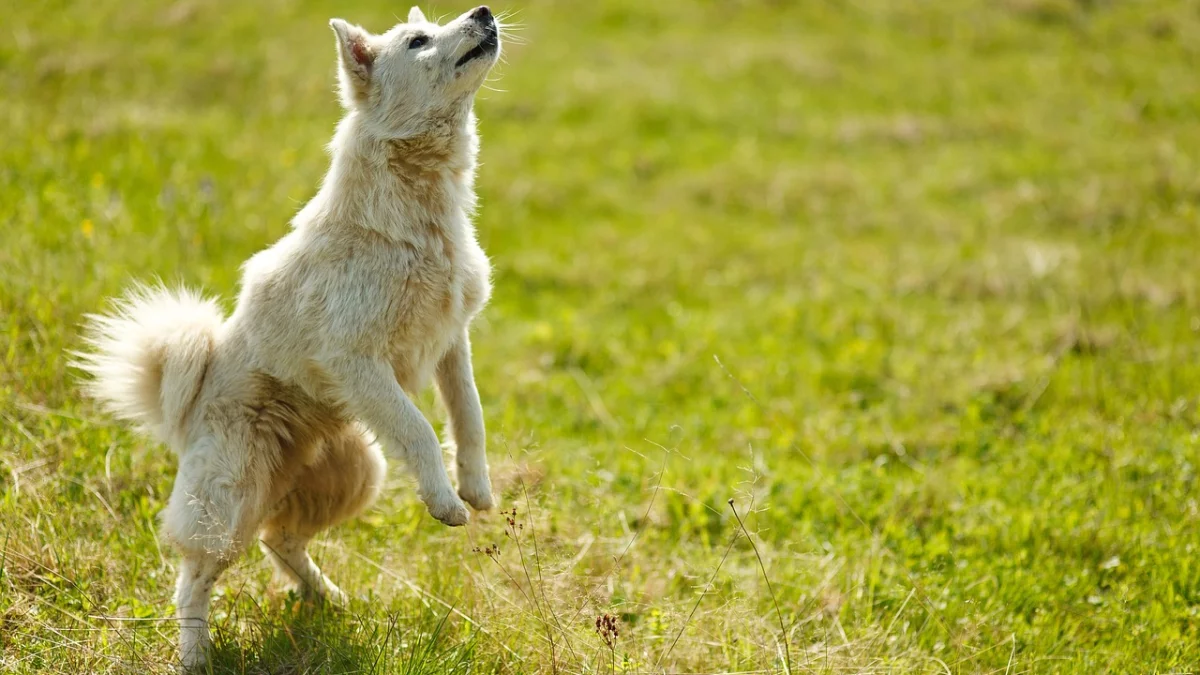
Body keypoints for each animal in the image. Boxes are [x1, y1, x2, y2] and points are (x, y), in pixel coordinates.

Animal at [78, 6, 501, 667]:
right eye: (418, 40)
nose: (483, 12)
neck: (416, 216)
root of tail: (183, 409)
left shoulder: (451, 341)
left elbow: (469, 419)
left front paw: (476, 491)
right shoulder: (356, 357)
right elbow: (420, 429)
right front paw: (444, 503)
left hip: (355, 473)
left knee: (280, 540)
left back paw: (326, 597)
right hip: (229, 504)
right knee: (192, 579)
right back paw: (196, 656)